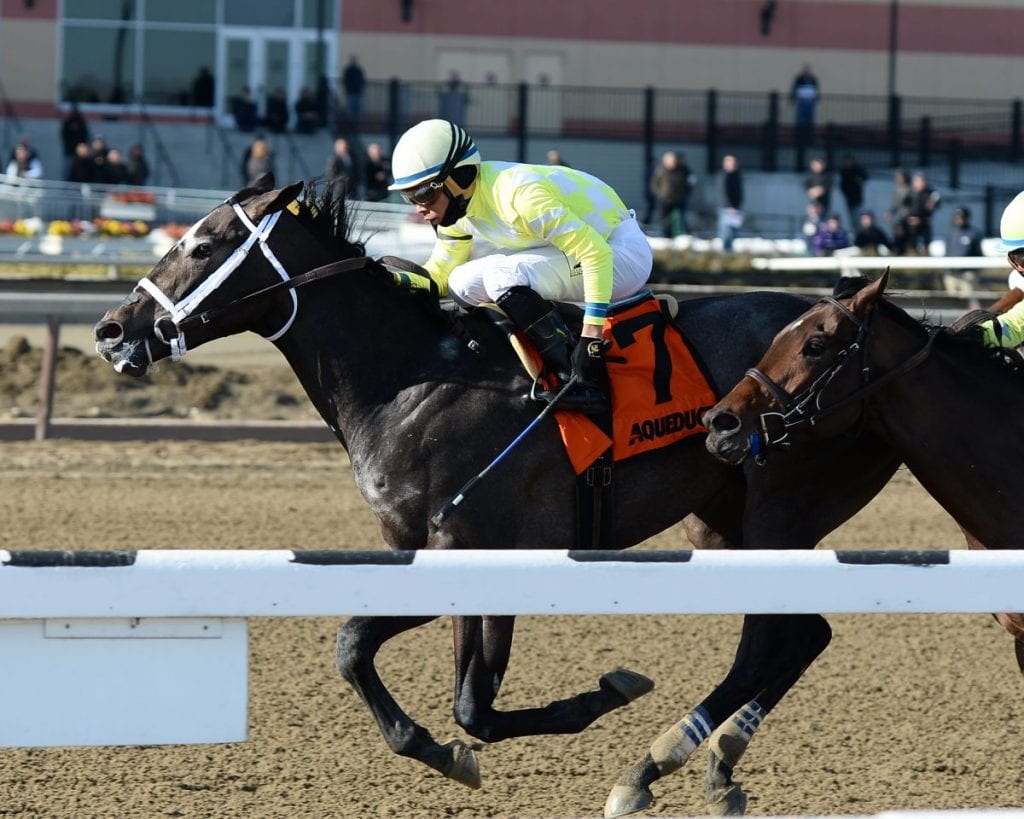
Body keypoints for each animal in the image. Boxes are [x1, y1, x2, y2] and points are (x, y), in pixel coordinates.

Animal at [92, 176, 901, 814]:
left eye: (203, 247)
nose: (111, 330)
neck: (413, 379)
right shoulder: (420, 549)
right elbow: (396, 669)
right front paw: (444, 747)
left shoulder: (479, 544)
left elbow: (453, 693)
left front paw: (607, 690)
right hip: (721, 521)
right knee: (800, 634)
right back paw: (710, 764)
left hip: (776, 510)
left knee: (779, 636)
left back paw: (661, 764)